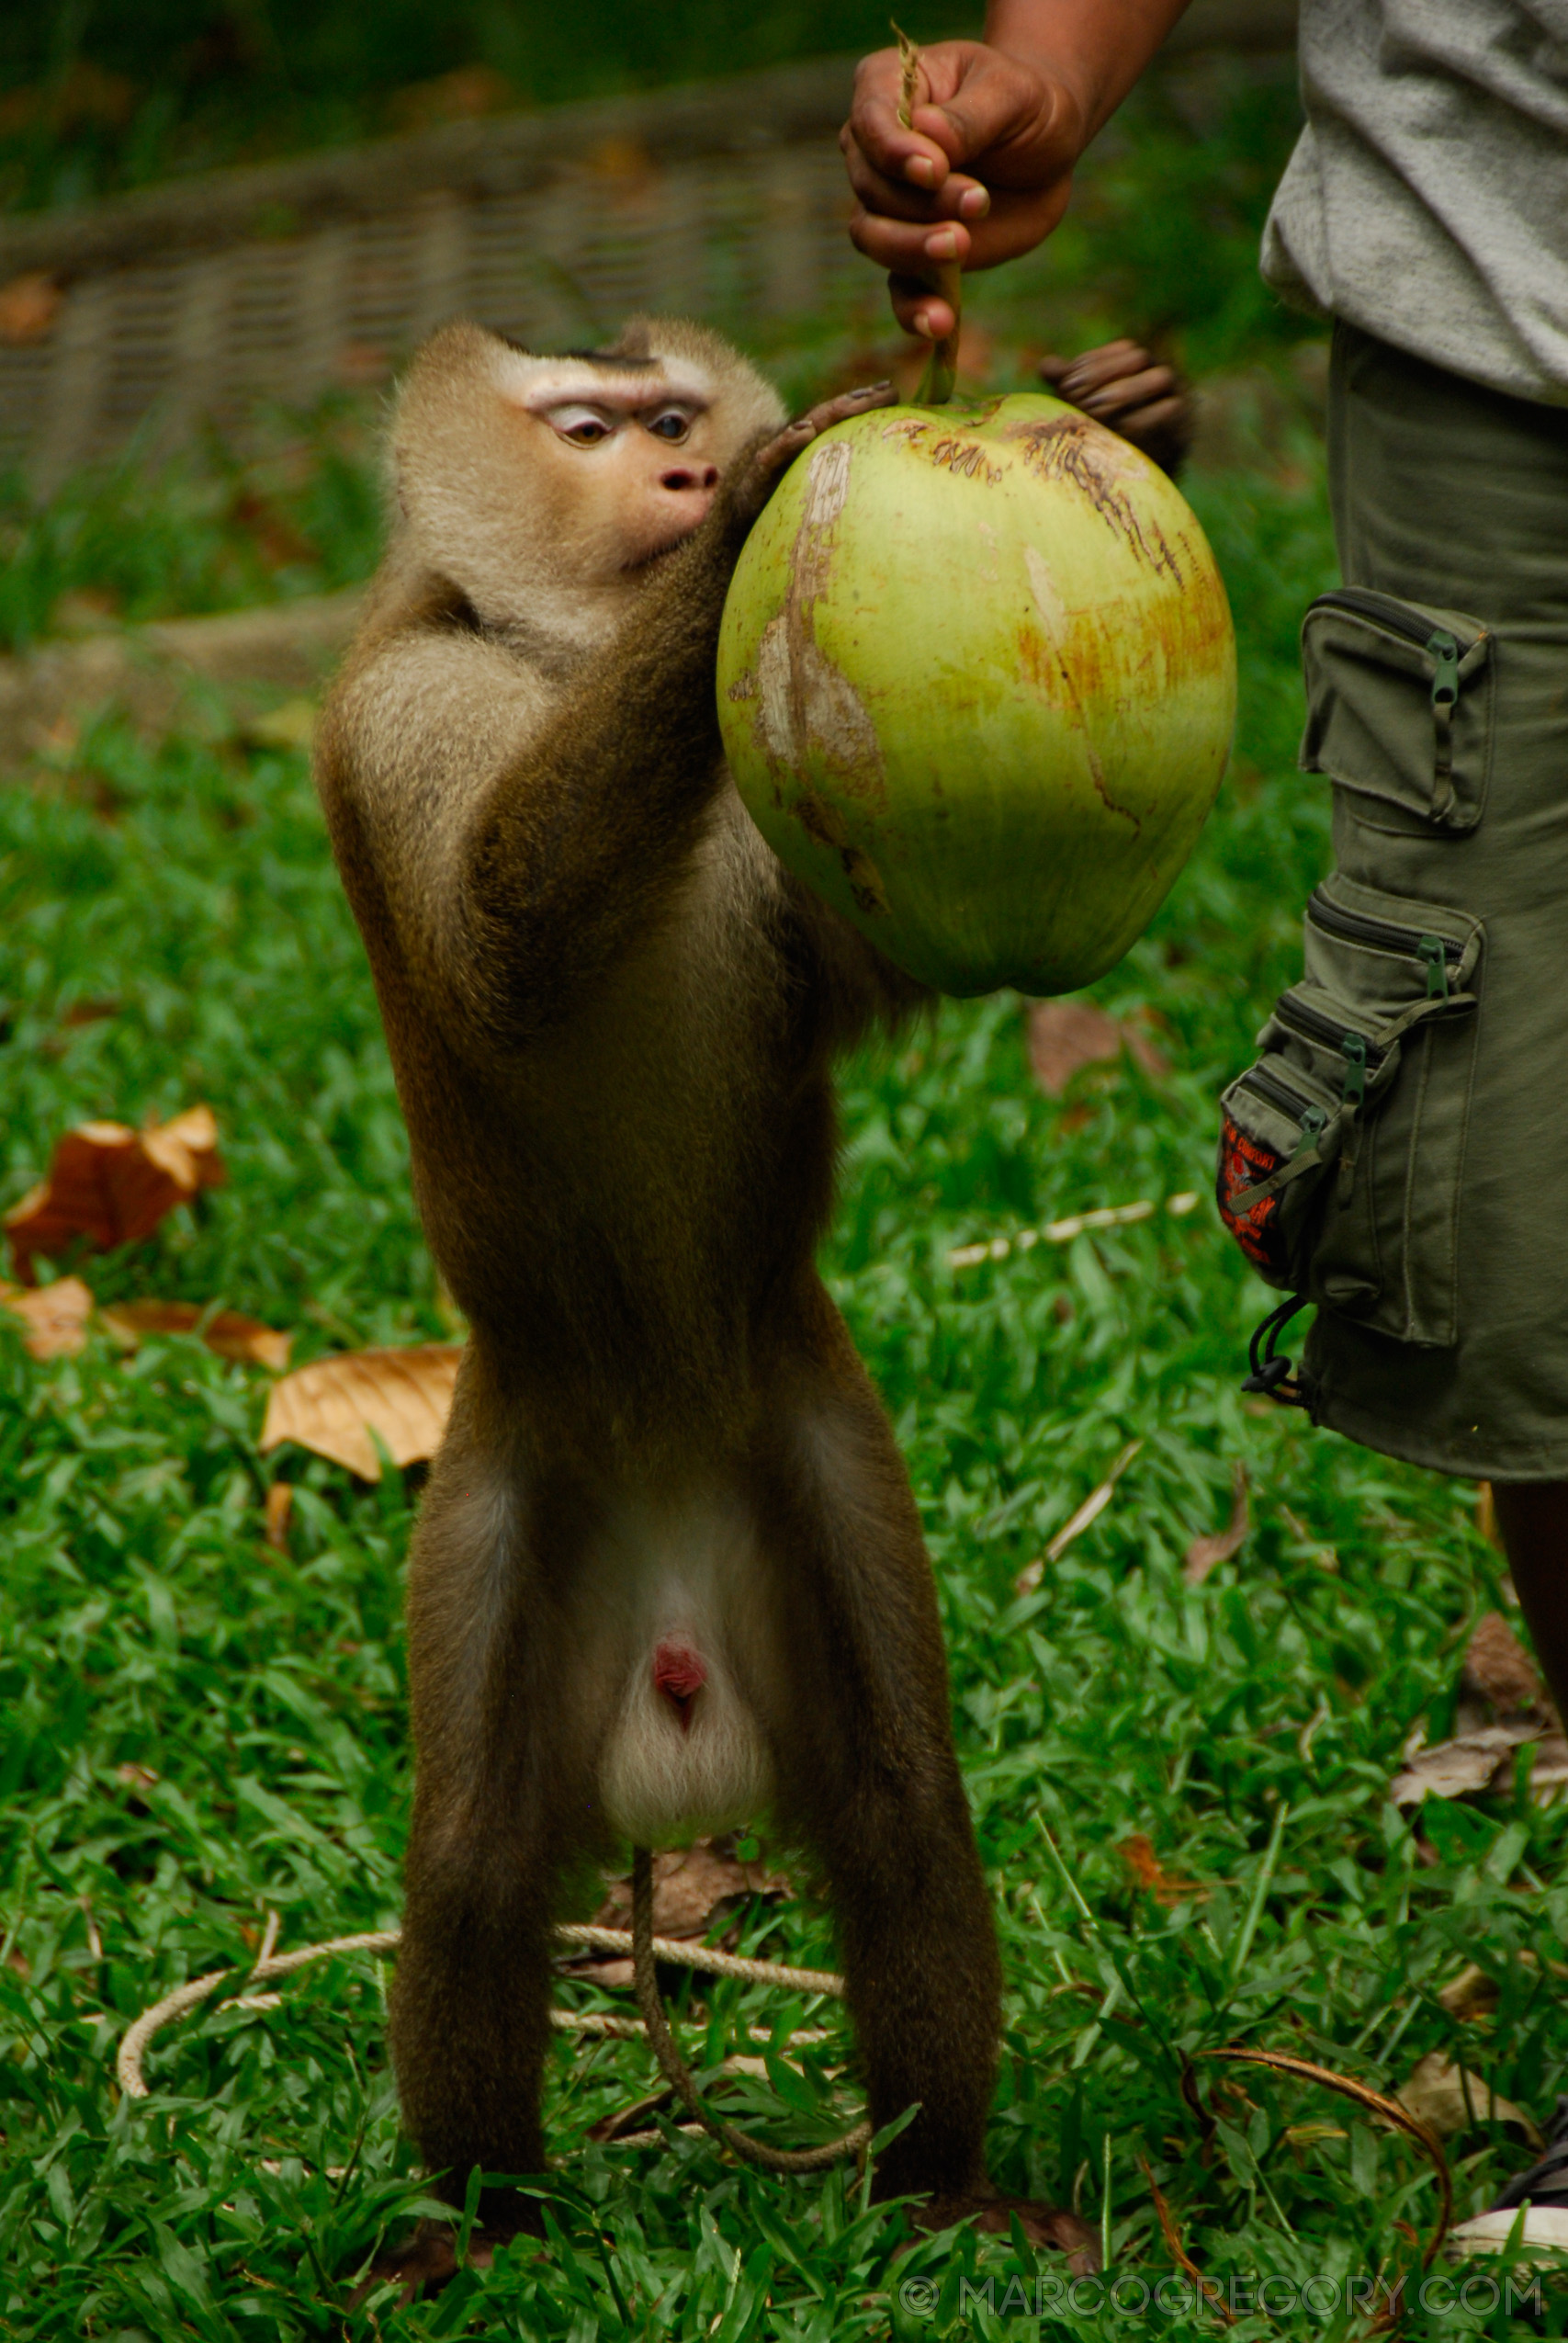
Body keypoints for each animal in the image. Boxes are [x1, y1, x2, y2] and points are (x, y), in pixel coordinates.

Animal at [311, 316, 1180, 2286]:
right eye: (589, 429)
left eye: (669, 414)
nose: (692, 470)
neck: (550, 650)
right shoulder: (401, 700)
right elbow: (506, 926)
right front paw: (741, 543)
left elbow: (856, 965)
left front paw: (1136, 410)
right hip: (524, 1481)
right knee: (474, 1866)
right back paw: (485, 2223)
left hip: (801, 1448)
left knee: (898, 1813)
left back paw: (940, 2184)